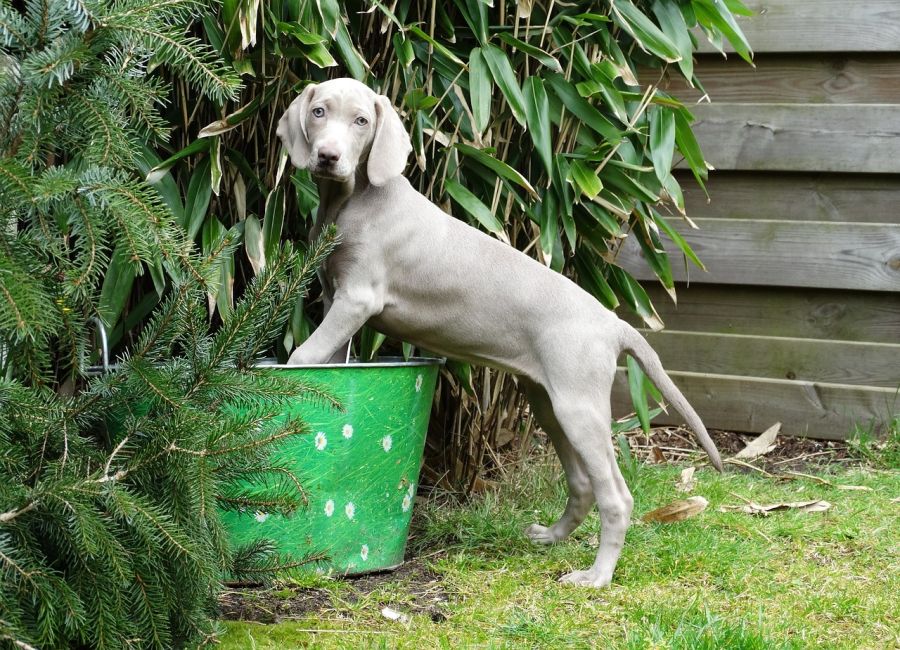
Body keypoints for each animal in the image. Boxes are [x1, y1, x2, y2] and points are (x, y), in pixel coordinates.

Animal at [276, 77, 724, 588]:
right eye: (318, 112)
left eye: (361, 121)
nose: (328, 157)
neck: (354, 198)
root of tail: (613, 322)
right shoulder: (336, 299)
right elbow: (330, 359)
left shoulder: (357, 298)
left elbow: (302, 358)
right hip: (548, 402)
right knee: (583, 482)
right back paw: (550, 538)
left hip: (580, 407)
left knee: (617, 496)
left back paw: (596, 576)